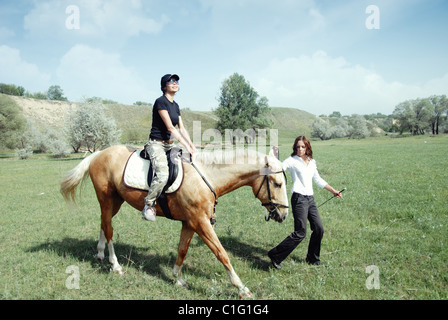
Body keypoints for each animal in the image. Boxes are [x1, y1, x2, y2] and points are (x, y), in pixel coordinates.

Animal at [59, 144, 288, 298]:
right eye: (277, 184)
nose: (283, 215)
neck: (206, 176)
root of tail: (99, 154)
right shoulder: (201, 222)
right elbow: (221, 253)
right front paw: (241, 288)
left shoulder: (190, 223)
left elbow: (182, 249)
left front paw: (177, 278)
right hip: (107, 199)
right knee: (108, 229)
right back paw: (115, 265)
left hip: (115, 201)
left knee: (103, 223)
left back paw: (100, 254)